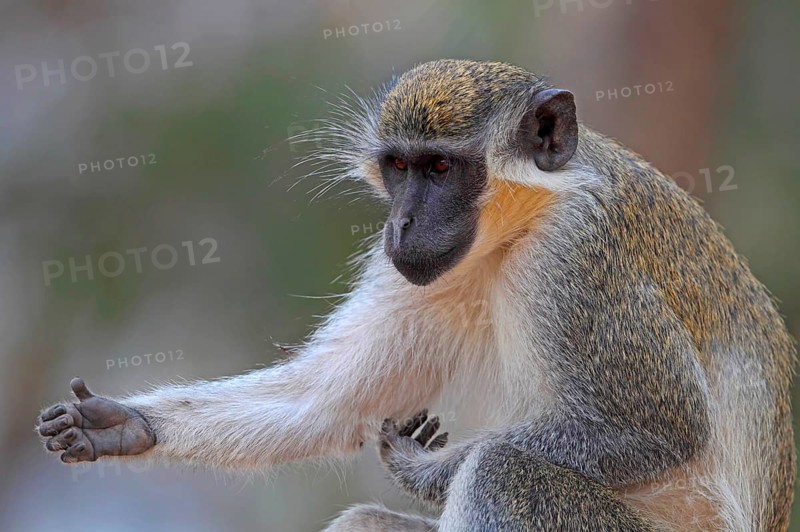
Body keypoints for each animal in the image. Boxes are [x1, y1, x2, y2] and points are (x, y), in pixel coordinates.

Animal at [37, 59, 795, 531]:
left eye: (440, 168)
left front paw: (429, 470)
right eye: (399, 167)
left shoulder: (580, 255)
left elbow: (659, 429)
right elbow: (324, 401)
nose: (400, 225)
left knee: (505, 472)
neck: (524, 222)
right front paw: (124, 422)